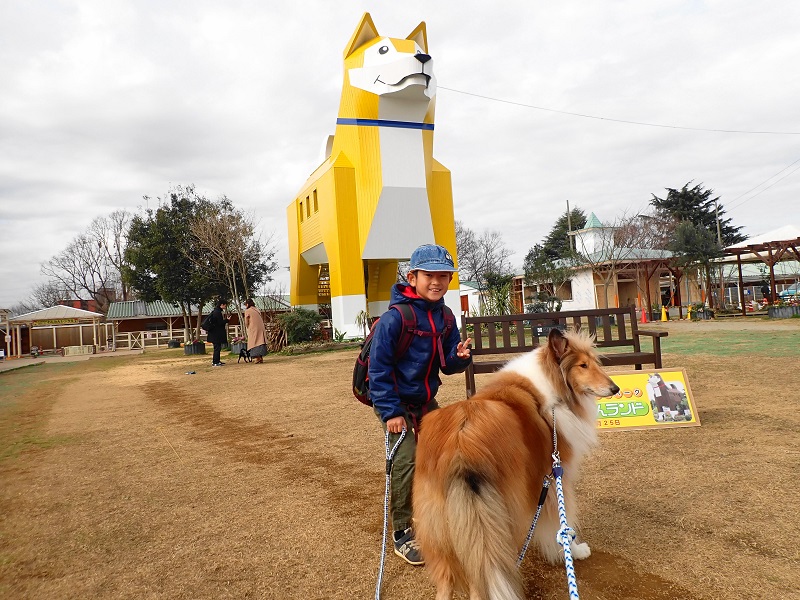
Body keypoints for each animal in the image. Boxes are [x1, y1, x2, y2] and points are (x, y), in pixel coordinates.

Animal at [412, 330, 620, 596]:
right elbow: (562, 519)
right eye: (583, 365)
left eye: (594, 362)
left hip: (440, 526)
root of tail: (461, 446)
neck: (549, 388)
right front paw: (574, 550)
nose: (615, 388)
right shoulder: (552, 476)